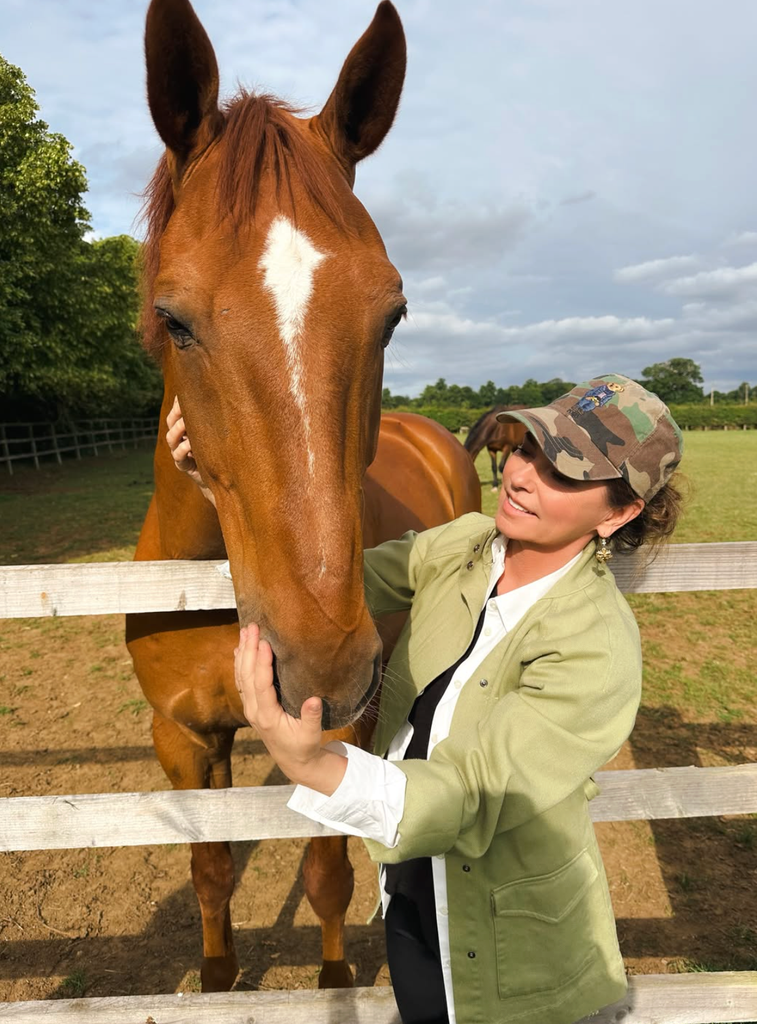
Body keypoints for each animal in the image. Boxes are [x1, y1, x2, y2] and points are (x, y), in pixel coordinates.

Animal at [125, 0, 481, 995]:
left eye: (391, 314)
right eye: (172, 318)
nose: (320, 666)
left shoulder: (341, 730)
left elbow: (326, 871)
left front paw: (333, 982)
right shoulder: (182, 738)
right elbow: (210, 869)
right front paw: (216, 980)